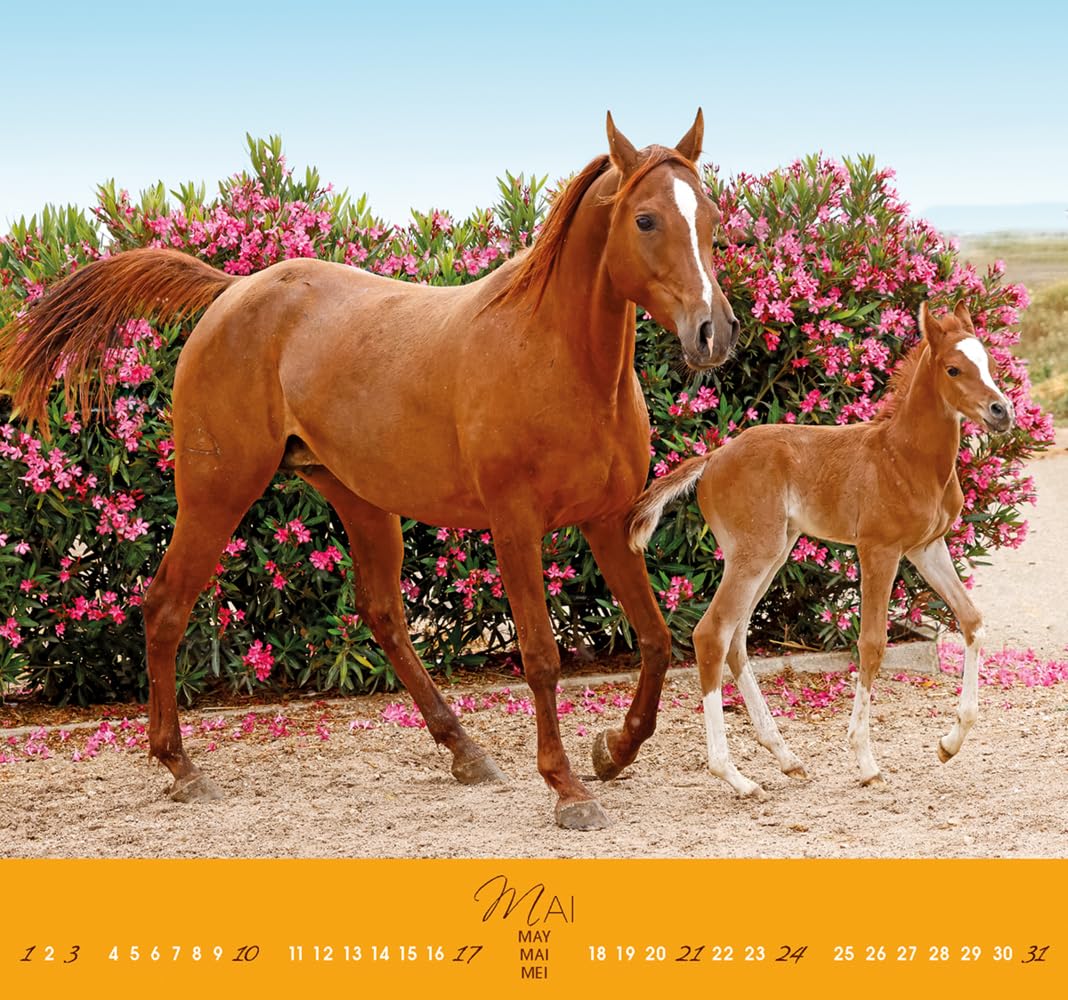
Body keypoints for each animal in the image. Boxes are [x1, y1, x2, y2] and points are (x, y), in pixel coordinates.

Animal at [0, 111, 740, 830]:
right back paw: (182, 768)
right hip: (217, 492)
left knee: (382, 615)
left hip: (359, 499)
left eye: (709, 215)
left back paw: (465, 751)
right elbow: (541, 656)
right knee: (164, 607)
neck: (556, 355)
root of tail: (234, 291)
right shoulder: (516, 527)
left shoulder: (610, 522)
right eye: (645, 219)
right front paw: (568, 791)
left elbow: (655, 639)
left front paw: (613, 751)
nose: (714, 333)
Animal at [627, 302, 1013, 796]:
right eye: (954, 368)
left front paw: (949, 743)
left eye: (991, 365)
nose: (1001, 411)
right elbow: (872, 644)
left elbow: (972, 622)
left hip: (771, 553)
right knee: (711, 633)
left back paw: (785, 757)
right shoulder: (879, 550)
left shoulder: (927, 547)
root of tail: (713, 458)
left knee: (735, 637)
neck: (905, 457)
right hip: (755, 554)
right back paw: (735, 776)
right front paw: (866, 761)